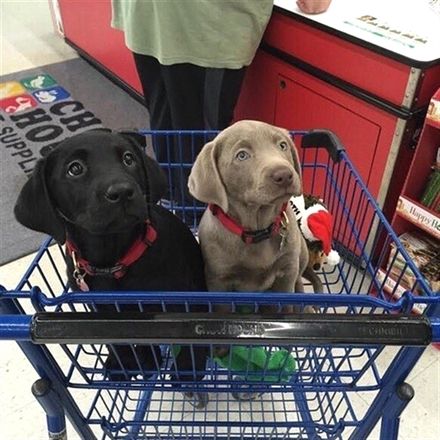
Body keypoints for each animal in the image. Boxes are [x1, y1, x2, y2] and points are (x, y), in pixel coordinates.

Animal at [15, 127, 210, 406]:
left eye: (129, 158)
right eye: (74, 169)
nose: (122, 191)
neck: (113, 261)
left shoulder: (181, 302)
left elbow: (190, 338)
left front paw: (185, 371)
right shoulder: (102, 307)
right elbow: (115, 338)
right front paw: (127, 362)